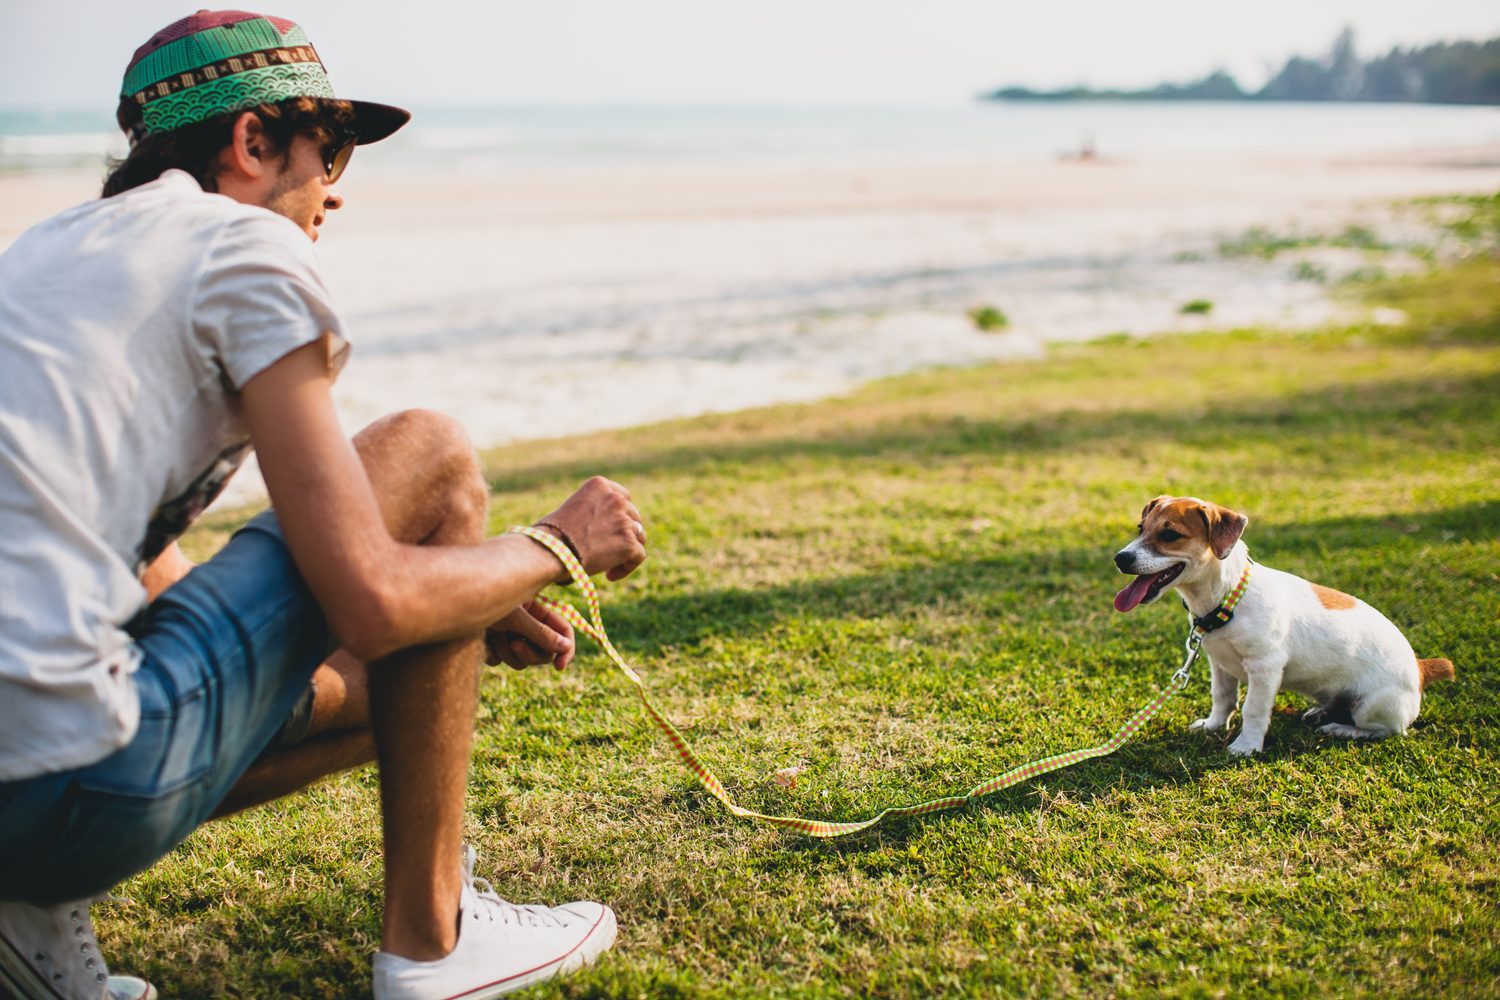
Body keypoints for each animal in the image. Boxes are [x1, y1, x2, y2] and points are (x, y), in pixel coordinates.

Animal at [1116, 497, 1452, 755]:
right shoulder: (1219, 664)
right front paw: (1213, 726)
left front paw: (1246, 746)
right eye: (1140, 529)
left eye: (1170, 535)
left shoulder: (1264, 668)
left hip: (1371, 705)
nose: (1121, 558)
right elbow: (1223, 698)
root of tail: (1421, 668)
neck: (1228, 600)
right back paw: (1321, 711)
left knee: (1387, 729)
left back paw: (1343, 729)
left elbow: (1252, 709)